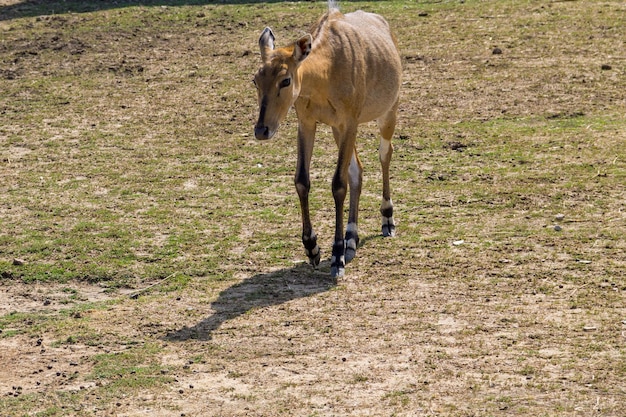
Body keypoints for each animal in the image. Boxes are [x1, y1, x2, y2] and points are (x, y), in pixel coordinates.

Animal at [252, 3, 400, 278]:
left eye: (285, 79)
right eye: (255, 79)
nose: (261, 130)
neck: (327, 71)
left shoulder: (349, 121)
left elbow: (338, 184)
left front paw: (336, 256)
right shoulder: (308, 122)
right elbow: (302, 180)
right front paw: (313, 248)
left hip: (387, 112)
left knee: (385, 152)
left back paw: (387, 219)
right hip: (336, 130)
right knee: (357, 169)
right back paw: (352, 238)